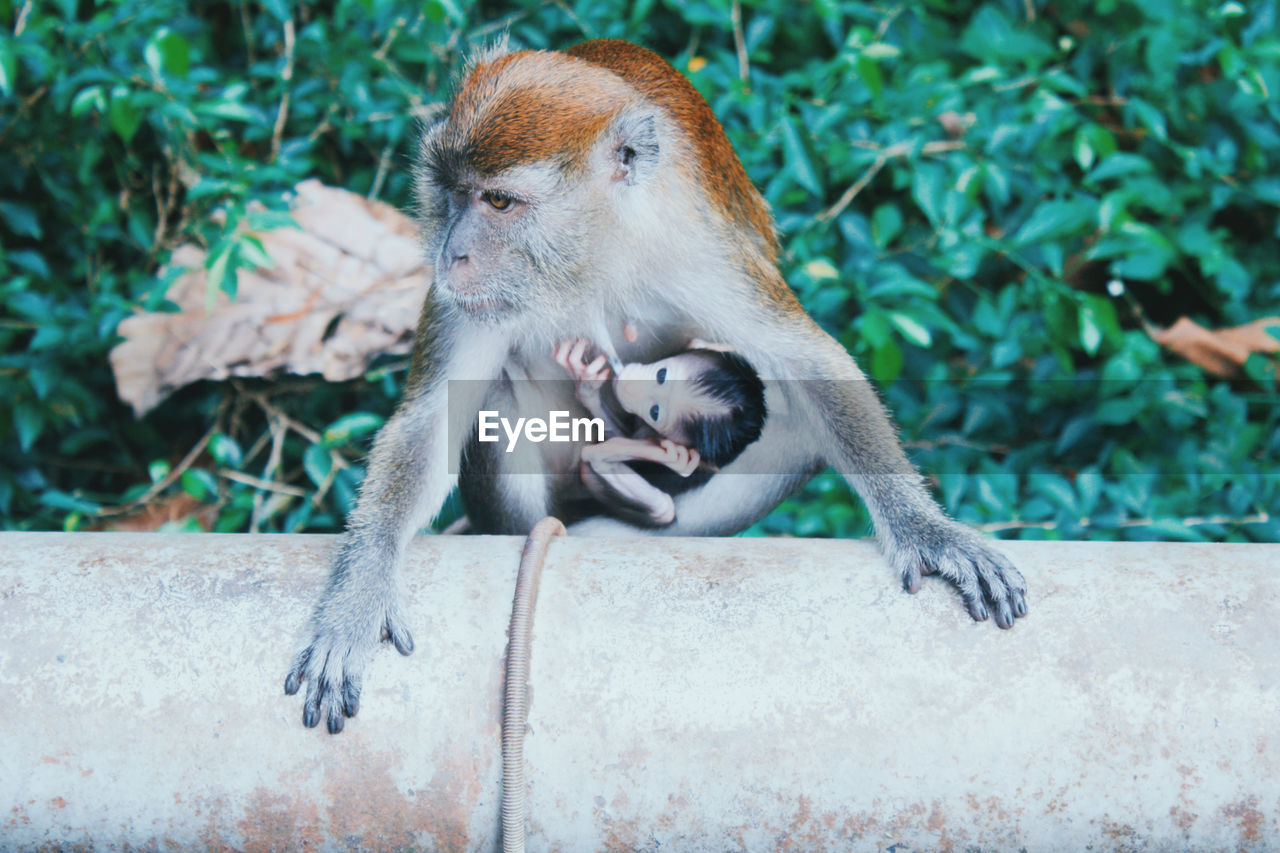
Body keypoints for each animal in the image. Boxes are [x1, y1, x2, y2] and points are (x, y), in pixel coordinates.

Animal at [555, 338, 762, 525]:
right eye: (662, 375)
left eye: (654, 412)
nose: (627, 384)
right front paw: (586, 385)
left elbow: (664, 509)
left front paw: (672, 456)